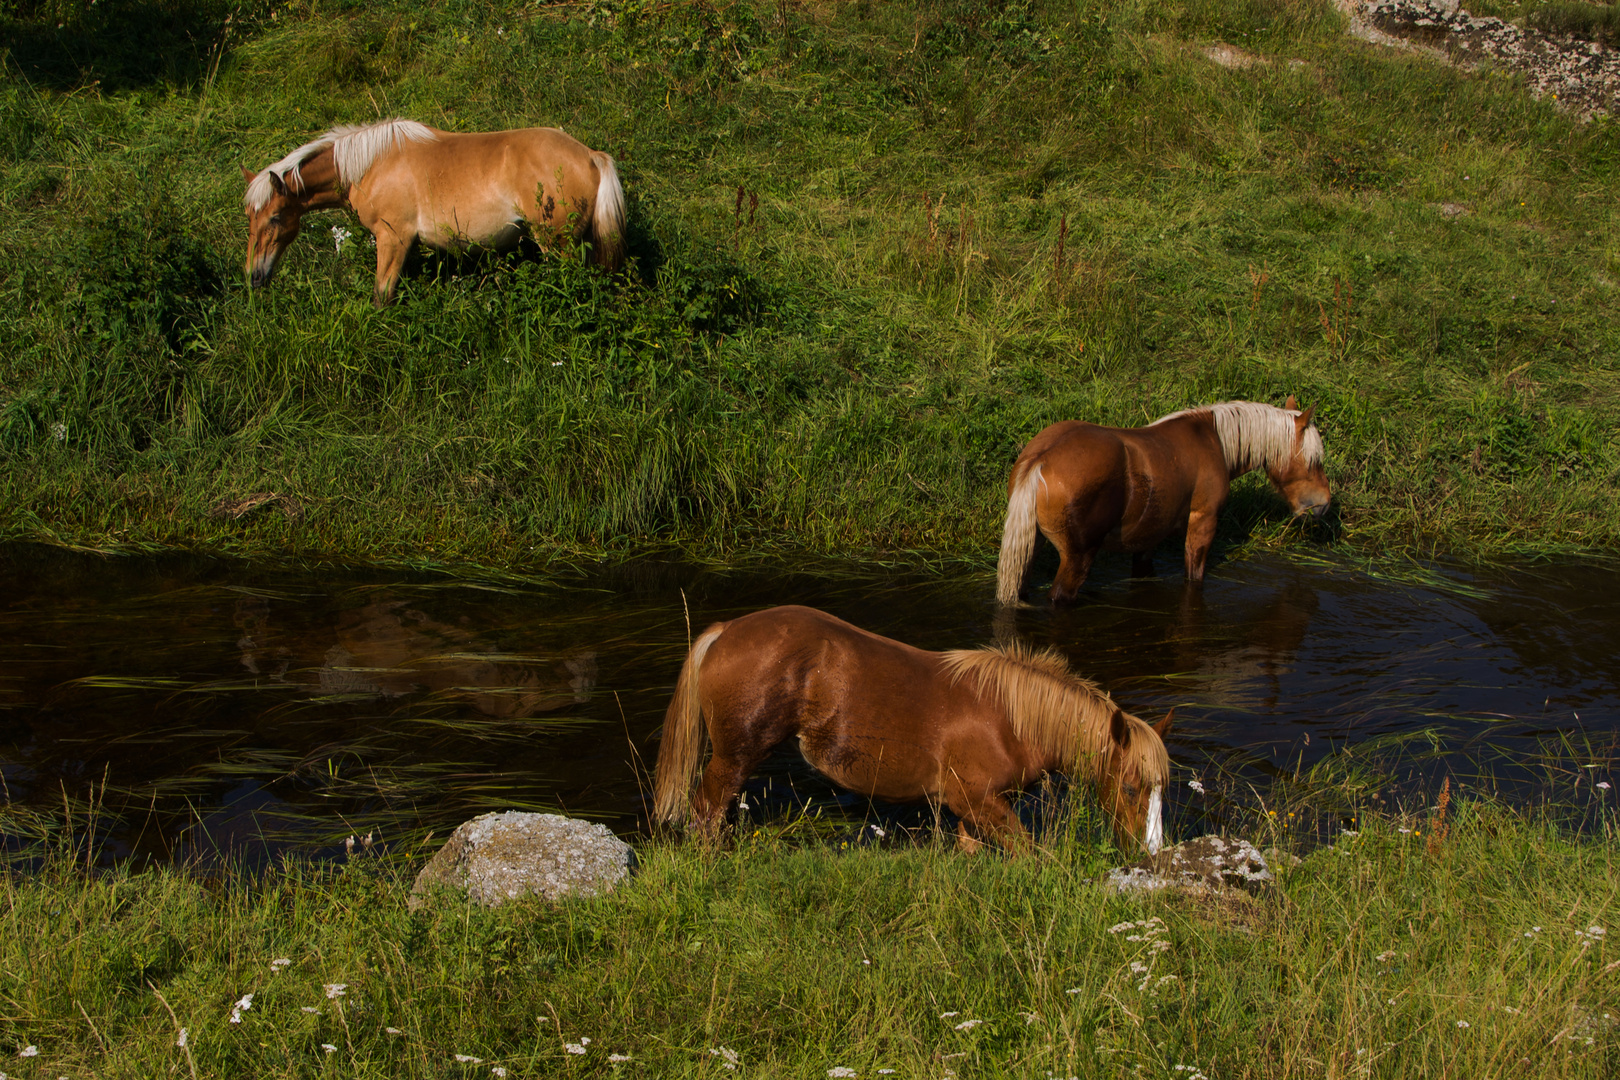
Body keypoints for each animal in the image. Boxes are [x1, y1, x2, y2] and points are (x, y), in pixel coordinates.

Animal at [241, 117, 625, 304]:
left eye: (275, 218)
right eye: (250, 219)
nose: (254, 276)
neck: (371, 164)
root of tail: (591, 155)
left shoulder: (393, 239)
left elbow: (382, 296)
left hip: (558, 246)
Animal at [651, 608, 1172, 854]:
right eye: (1131, 788)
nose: (1148, 853)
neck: (1011, 719)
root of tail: (725, 630)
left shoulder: (971, 815)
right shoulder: (981, 805)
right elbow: (1028, 853)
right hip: (732, 760)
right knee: (704, 817)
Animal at [991, 399, 1334, 608]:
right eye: (1314, 460)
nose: (1323, 504)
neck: (1213, 441)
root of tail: (1042, 458)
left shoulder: (1147, 538)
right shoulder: (1202, 524)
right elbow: (1194, 577)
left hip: (1030, 548)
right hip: (1078, 557)